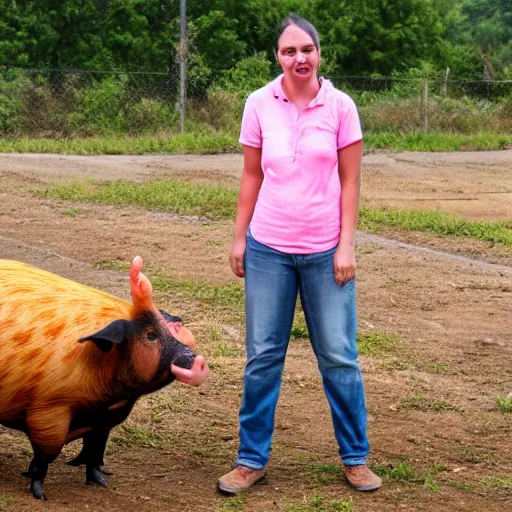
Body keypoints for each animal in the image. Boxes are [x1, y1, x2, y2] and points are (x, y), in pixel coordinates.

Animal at [0, 258, 209, 498]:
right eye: (151, 335)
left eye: (177, 327)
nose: (196, 361)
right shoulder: (47, 411)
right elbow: (45, 456)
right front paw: (39, 494)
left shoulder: (109, 418)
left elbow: (96, 448)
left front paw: (101, 482)